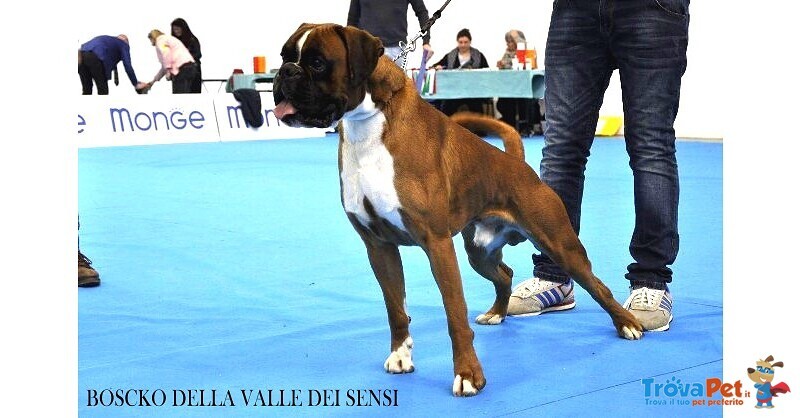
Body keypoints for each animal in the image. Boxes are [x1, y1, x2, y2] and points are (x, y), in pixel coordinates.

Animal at [272, 23, 640, 398]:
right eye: (285, 55)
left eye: (318, 63)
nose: (285, 72)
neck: (369, 125)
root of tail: (517, 164)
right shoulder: (379, 247)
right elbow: (395, 310)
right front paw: (401, 356)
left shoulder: (437, 244)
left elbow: (454, 314)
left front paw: (468, 375)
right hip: (479, 252)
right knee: (504, 275)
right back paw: (497, 313)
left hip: (559, 244)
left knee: (597, 285)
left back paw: (628, 324)